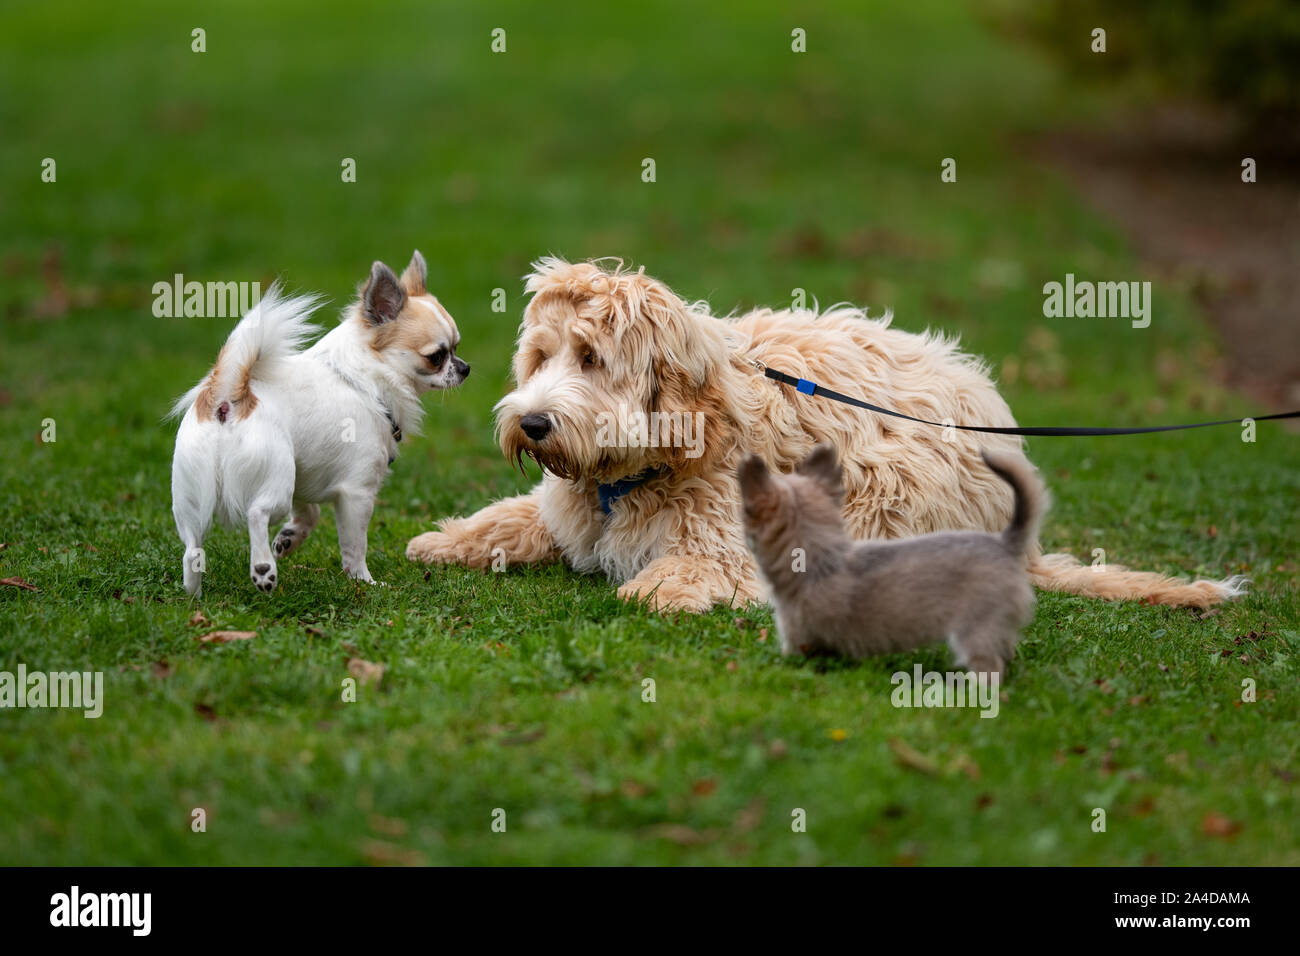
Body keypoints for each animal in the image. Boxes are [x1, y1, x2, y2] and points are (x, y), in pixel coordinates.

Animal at [405, 257, 1248, 613]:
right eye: (541, 357)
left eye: (592, 359)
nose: (533, 422)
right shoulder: (565, 507)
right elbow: (516, 517)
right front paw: (447, 538)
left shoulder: (733, 536)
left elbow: (701, 565)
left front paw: (661, 586)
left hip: (892, 479)